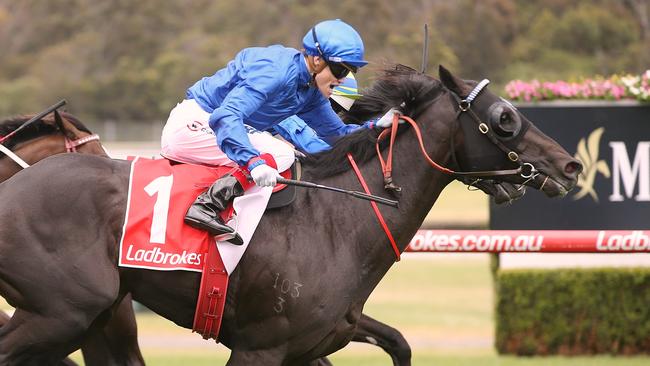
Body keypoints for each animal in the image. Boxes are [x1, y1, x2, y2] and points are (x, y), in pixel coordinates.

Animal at [0, 66, 576, 366]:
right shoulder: (261, 347)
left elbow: (399, 343)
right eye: (504, 118)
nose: (569, 165)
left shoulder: (320, 337)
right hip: (61, 313)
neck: (339, 217)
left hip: (96, 319)